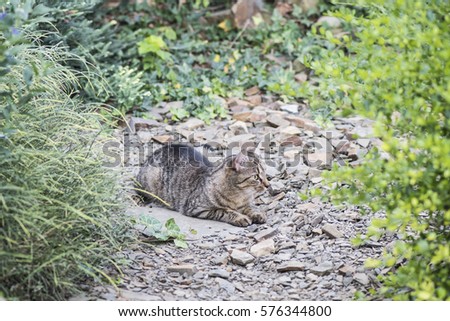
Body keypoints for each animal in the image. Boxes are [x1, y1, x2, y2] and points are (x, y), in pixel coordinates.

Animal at [137, 144, 268, 226]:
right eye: (256, 177)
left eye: (265, 174)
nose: (268, 185)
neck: (239, 195)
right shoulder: (198, 208)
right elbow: (224, 211)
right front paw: (239, 217)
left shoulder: (246, 203)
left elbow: (250, 207)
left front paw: (257, 213)